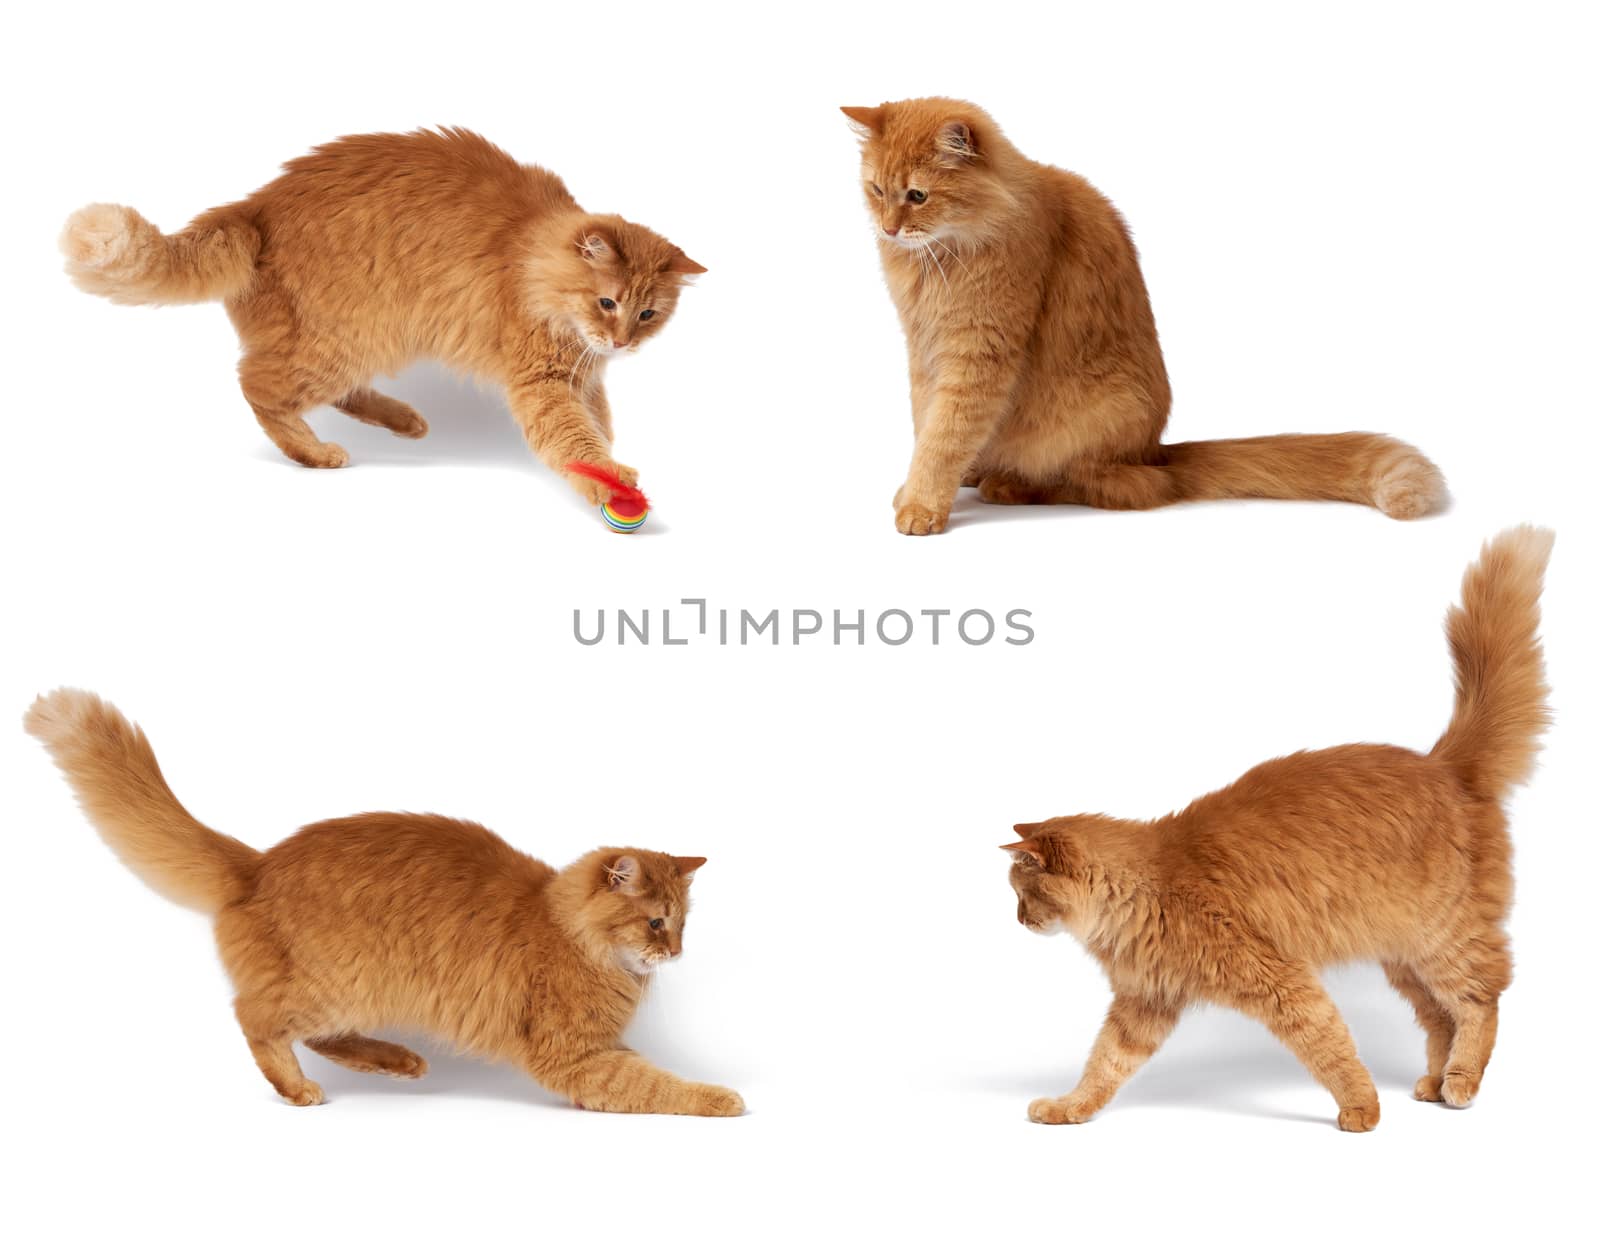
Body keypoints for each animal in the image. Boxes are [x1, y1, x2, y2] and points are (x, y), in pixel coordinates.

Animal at [21, 688, 742, 1113]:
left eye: (682, 925)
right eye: (656, 922)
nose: (676, 953)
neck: (565, 929)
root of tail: (258, 863)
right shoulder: (577, 1055)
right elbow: (660, 1086)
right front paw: (724, 1098)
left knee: (316, 1035)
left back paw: (397, 1060)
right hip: (338, 983)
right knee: (255, 1017)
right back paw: (299, 1089)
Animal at [59, 128, 704, 502]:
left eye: (648, 313)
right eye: (607, 302)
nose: (622, 342)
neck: (530, 257)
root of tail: (251, 208)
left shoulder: (583, 379)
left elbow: (599, 427)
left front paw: (611, 467)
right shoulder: (544, 383)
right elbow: (574, 440)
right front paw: (609, 484)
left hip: (366, 341)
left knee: (322, 390)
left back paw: (404, 420)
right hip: (344, 340)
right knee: (256, 384)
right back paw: (316, 453)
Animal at [838, 99, 1452, 534]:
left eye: (917, 196)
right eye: (876, 190)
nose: (889, 228)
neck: (941, 257)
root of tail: (1159, 450)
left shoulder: (978, 351)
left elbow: (944, 433)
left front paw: (921, 503)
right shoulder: (923, 351)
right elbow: (926, 421)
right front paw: (921, 487)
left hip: (1097, 421)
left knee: (1123, 487)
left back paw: (1006, 484)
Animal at [998, 524, 1548, 1126]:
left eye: (1021, 893)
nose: (1019, 921)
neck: (1147, 889)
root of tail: (1443, 764)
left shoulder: (1281, 980)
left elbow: (1329, 1047)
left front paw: (1362, 1111)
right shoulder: (1145, 1003)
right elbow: (1103, 1066)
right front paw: (1068, 1108)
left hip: (1443, 940)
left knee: (1479, 1001)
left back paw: (1461, 1081)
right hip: (1405, 960)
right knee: (1439, 1017)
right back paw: (1434, 1082)